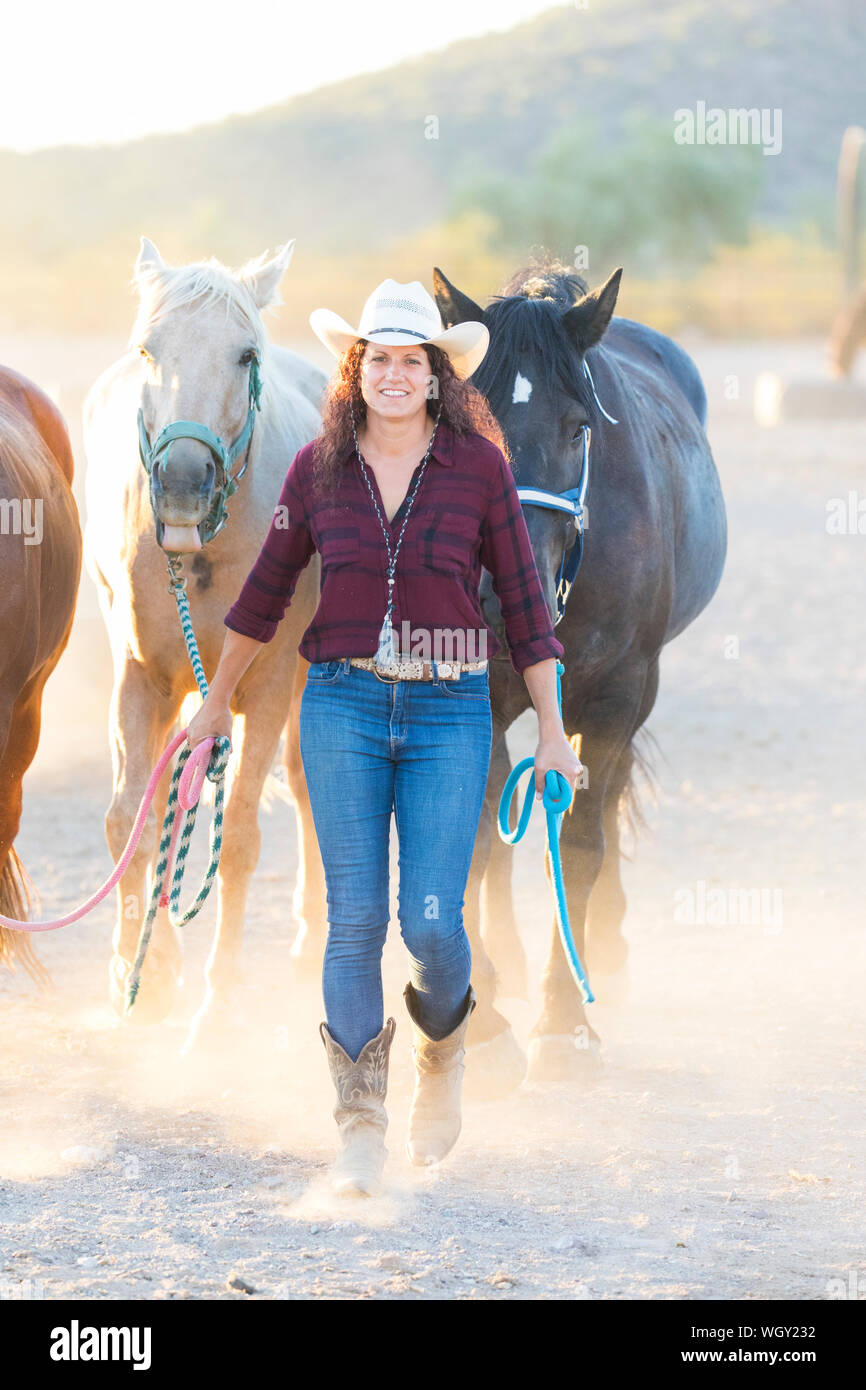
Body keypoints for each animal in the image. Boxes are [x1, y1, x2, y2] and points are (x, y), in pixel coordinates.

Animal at [83, 239, 326, 1045]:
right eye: (147, 348)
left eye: (245, 354)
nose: (182, 481)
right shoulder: (142, 679)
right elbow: (129, 816)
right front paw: (140, 976)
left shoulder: (268, 686)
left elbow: (241, 838)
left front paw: (216, 1012)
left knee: (310, 785)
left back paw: (311, 941)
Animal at [436, 258, 728, 1084]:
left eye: (579, 427)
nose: (503, 590)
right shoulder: (480, 693)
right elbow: (476, 843)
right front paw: (486, 1021)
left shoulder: (615, 696)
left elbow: (583, 843)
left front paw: (564, 1021)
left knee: (610, 797)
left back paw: (602, 949)